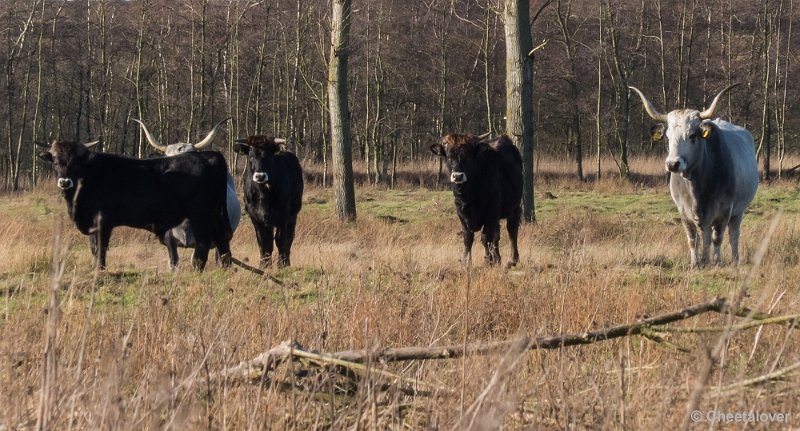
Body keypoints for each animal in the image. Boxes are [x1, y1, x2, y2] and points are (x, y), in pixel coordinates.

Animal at [38, 141, 231, 270]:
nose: (64, 182)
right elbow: (93, 248)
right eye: (56, 161)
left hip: (200, 214)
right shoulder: (93, 224)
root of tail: (208, 155)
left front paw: (100, 270)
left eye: (76, 162)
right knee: (222, 241)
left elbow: (101, 248)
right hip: (214, 215)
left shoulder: (104, 222)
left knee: (203, 243)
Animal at [236, 137, 304, 268]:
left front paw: (282, 265)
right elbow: (263, 241)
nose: (260, 176)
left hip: (292, 216)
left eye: (268, 156)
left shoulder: (283, 216)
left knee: (289, 238)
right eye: (251, 156)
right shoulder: (255, 217)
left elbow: (281, 240)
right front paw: (264, 265)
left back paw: (286, 261)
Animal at [432, 134, 524, 266]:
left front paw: (488, 261)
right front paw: (466, 262)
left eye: (469, 157)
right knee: (497, 234)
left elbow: (486, 237)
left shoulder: (492, 211)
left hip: (515, 206)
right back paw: (497, 258)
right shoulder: (461, 212)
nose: (458, 176)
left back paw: (513, 260)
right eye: (449, 157)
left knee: (512, 230)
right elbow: (468, 237)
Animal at [628, 84, 760, 266]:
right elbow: (693, 239)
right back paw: (705, 259)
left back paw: (734, 260)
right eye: (667, 137)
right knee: (706, 235)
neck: (697, 186)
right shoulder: (684, 211)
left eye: (692, 136)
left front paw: (717, 262)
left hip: (738, 212)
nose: (672, 164)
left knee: (733, 235)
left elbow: (718, 238)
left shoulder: (725, 209)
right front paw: (696, 263)